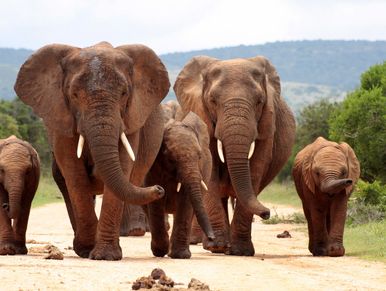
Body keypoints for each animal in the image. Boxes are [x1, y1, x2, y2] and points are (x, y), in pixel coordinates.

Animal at [14, 40, 169, 260]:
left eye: (124, 94)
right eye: (74, 95)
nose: (159, 189)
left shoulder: (130, 118)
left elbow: (123, 166)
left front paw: (105, 256)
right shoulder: (61, 118)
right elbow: (74, 174)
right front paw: (88, 250)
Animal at [146, 102, 216, 260]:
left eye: (199, 156)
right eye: (171, 159)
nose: (212, 238)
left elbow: (186, 201)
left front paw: (180, 255)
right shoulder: (152, 166)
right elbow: (156, 202)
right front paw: (161, 251)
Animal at [174, 54, 296, 256]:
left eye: (259, 101)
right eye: (213, 100)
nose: (267, 213)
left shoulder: (267, 124)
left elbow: (256, 167)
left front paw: (240, 251)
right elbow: (211, 168)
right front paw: (217, 247)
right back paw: (213, 244)